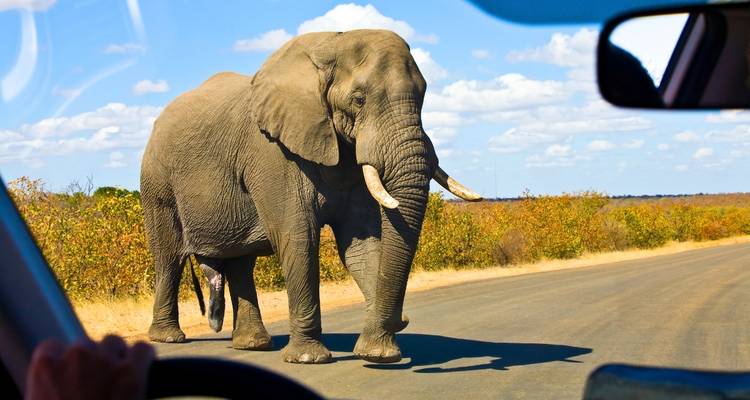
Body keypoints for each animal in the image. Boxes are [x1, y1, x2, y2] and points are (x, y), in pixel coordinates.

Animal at [141, 29, 481, 364]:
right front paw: (309, 358)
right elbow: (298, 237)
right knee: (169, 257)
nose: (403, 319)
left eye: (423, 97)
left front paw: (378, 353)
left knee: (240, 263)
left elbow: (362, 244)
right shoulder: (273, 153)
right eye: (359, 100)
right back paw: (169, 337)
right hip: (157, 182)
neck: (329, 45)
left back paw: (253, 345)